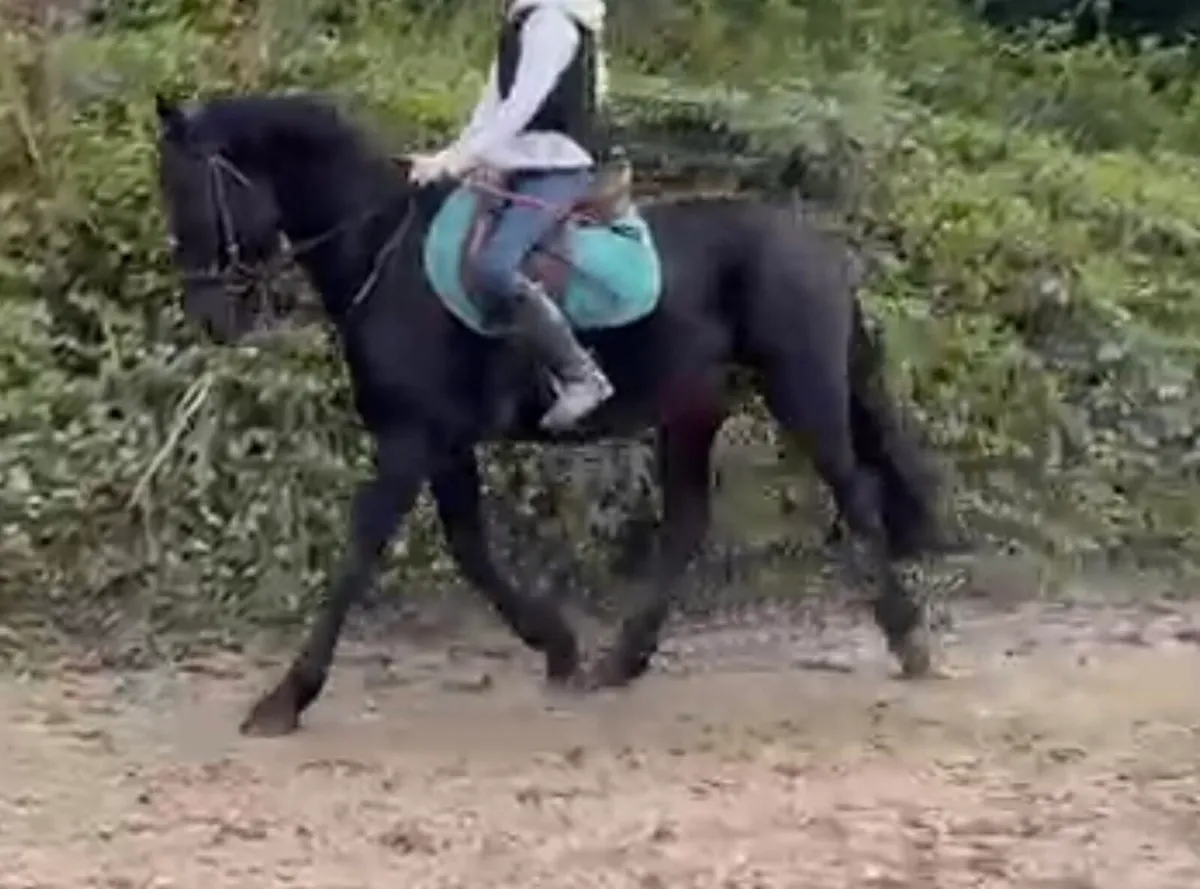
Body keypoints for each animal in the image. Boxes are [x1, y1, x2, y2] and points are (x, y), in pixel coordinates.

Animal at [153, 91, 950, 737]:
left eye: (195, 191)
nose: (211, 316)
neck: (387, 254)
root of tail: (817, 247)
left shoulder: (412, 440)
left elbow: (360, 554)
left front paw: (284, 699)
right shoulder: (442, 445)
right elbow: (470, 548)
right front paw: (557, 646)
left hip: (801, 391)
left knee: (857, 495)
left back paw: (908, 640)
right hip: (693, 411)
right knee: (688, 523)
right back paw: (620, 660)